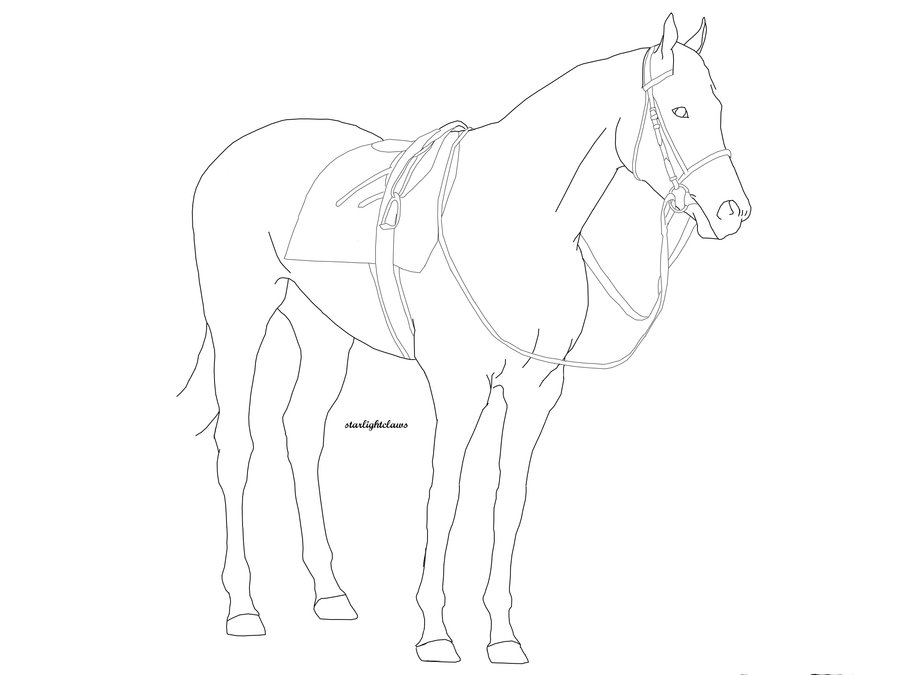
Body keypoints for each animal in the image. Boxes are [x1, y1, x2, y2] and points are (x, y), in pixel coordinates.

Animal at [185, 14, 751, 664]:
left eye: (717, 106)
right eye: (679, 109)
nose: (732, 210)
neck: (515, 222)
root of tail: (231, 156)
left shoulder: (535, 390)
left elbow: (508, 502)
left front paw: (503, 636)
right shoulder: (458, 389)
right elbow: (445, 497)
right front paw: (435, 632)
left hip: (324, 331)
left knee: (302, 434)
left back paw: (330, 595)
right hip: (240, 322)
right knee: (236, 445)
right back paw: (243, 608)